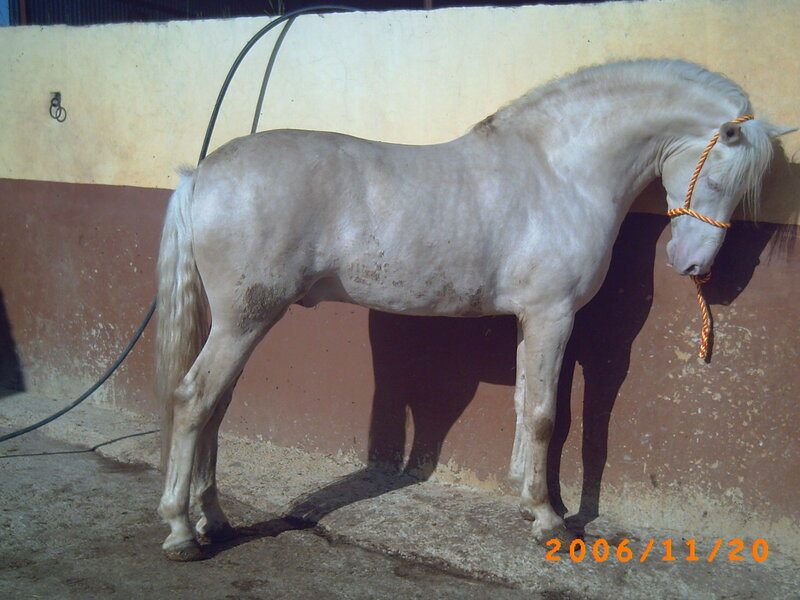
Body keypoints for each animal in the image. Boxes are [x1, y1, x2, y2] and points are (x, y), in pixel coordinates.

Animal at [154, 58, 793, 560]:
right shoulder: (553, 316)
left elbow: (524, 407)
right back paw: (182, 531)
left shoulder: (532, 321)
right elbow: (546, 416)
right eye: (720, 180)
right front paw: (550, 521)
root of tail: (199, 175)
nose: (693, 265)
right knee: (193, 401)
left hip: (239, 324)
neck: (561, 172)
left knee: (215, 408)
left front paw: (528, 504)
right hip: (245, 321)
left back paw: (214, 520)